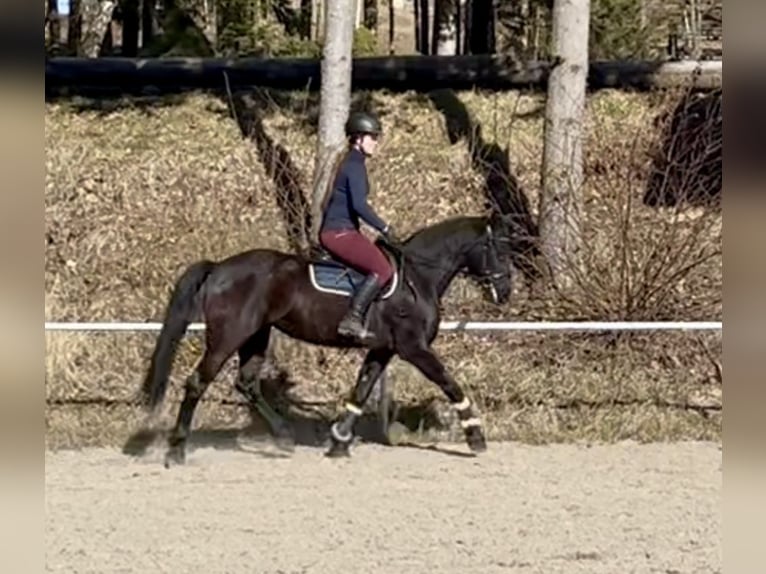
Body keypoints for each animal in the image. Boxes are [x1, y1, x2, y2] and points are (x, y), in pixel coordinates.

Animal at [141, 214, 512, 466]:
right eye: (498, 248)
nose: (506, 291)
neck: (418, 278)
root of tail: (219, 267)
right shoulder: (413, 348)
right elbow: (450, 383)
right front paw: (476, 436)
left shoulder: (382, 349)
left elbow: (361, 392)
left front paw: (338, 443)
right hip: (228, 337)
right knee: (197, 382)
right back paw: (176, 451)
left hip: (256, 335)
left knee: (246, 383)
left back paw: (284, 437)